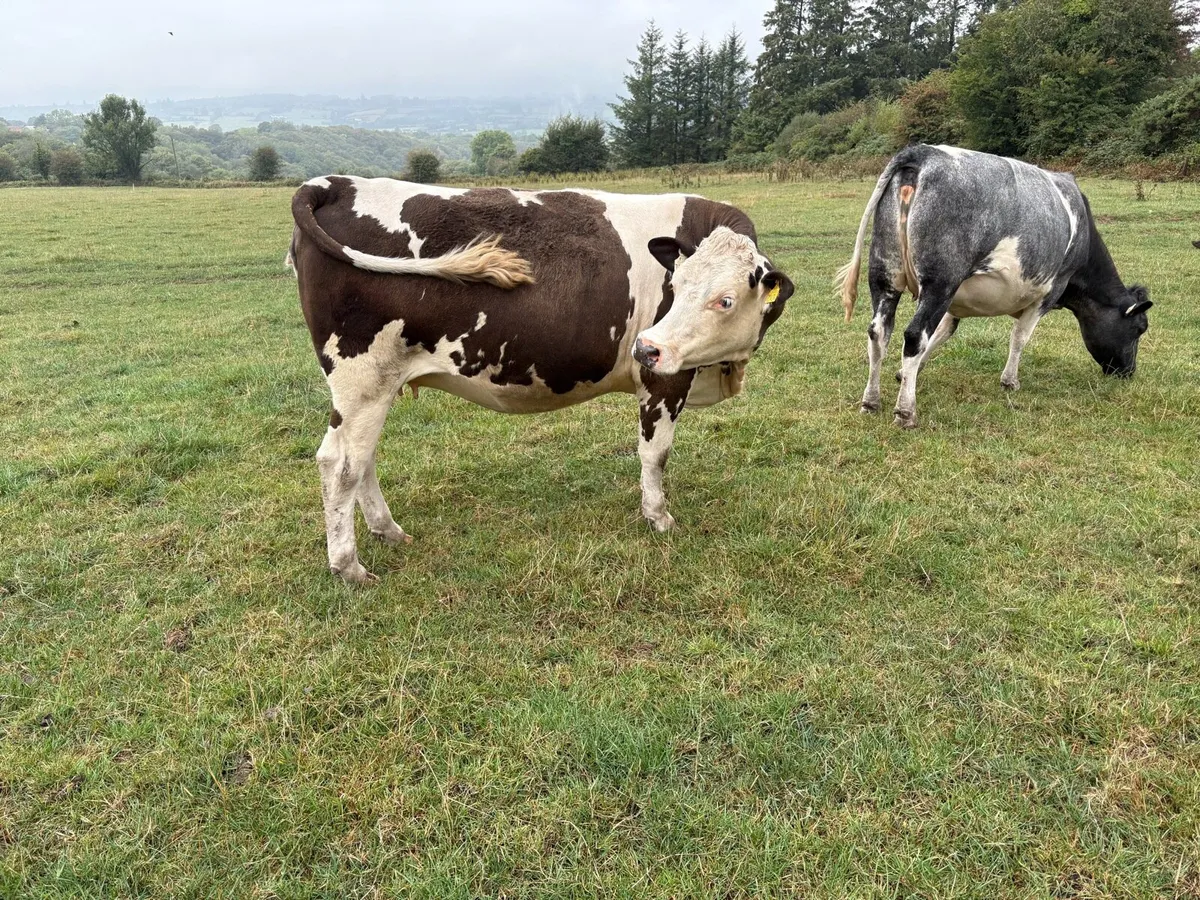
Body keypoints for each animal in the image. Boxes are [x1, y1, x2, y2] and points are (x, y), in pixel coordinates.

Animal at [288, 176, 793, 582]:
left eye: (725, 300)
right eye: (677, 284)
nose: (646, 348)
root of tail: (332, 182)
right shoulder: (666, 378)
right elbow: (656, 453)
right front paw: (659, 517)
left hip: (374, 385)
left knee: (362, 457)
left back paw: (388, 531)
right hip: (362, 377)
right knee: (340, 464)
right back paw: (348, 567)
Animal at [836, 144, 1152, 428]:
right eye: (1140, 328)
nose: (1128, 372)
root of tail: (922, 152)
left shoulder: (956, 301)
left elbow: (944, 332)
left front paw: (904, 374)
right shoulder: (1050, 291)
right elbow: (1020, 337)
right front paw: (1010, 381)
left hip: (885, 274)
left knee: (879, 332)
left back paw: (871, 401)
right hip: (940, 281)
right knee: (914, 335)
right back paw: (905, 412)